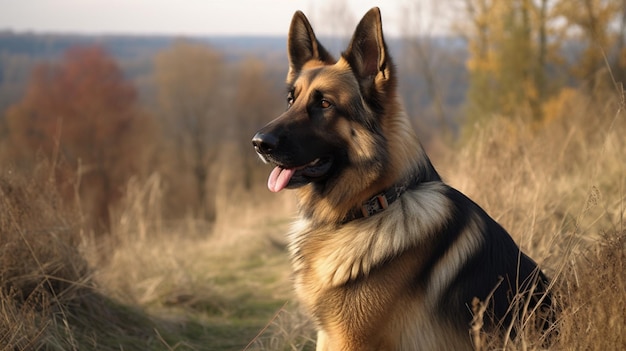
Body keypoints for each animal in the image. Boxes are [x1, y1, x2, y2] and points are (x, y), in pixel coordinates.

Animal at [251, 6, 548, 350]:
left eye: (324, 104)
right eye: (291, 101)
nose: (258, 143)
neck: (373, 205)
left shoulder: (351, 340)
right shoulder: (328, 334)